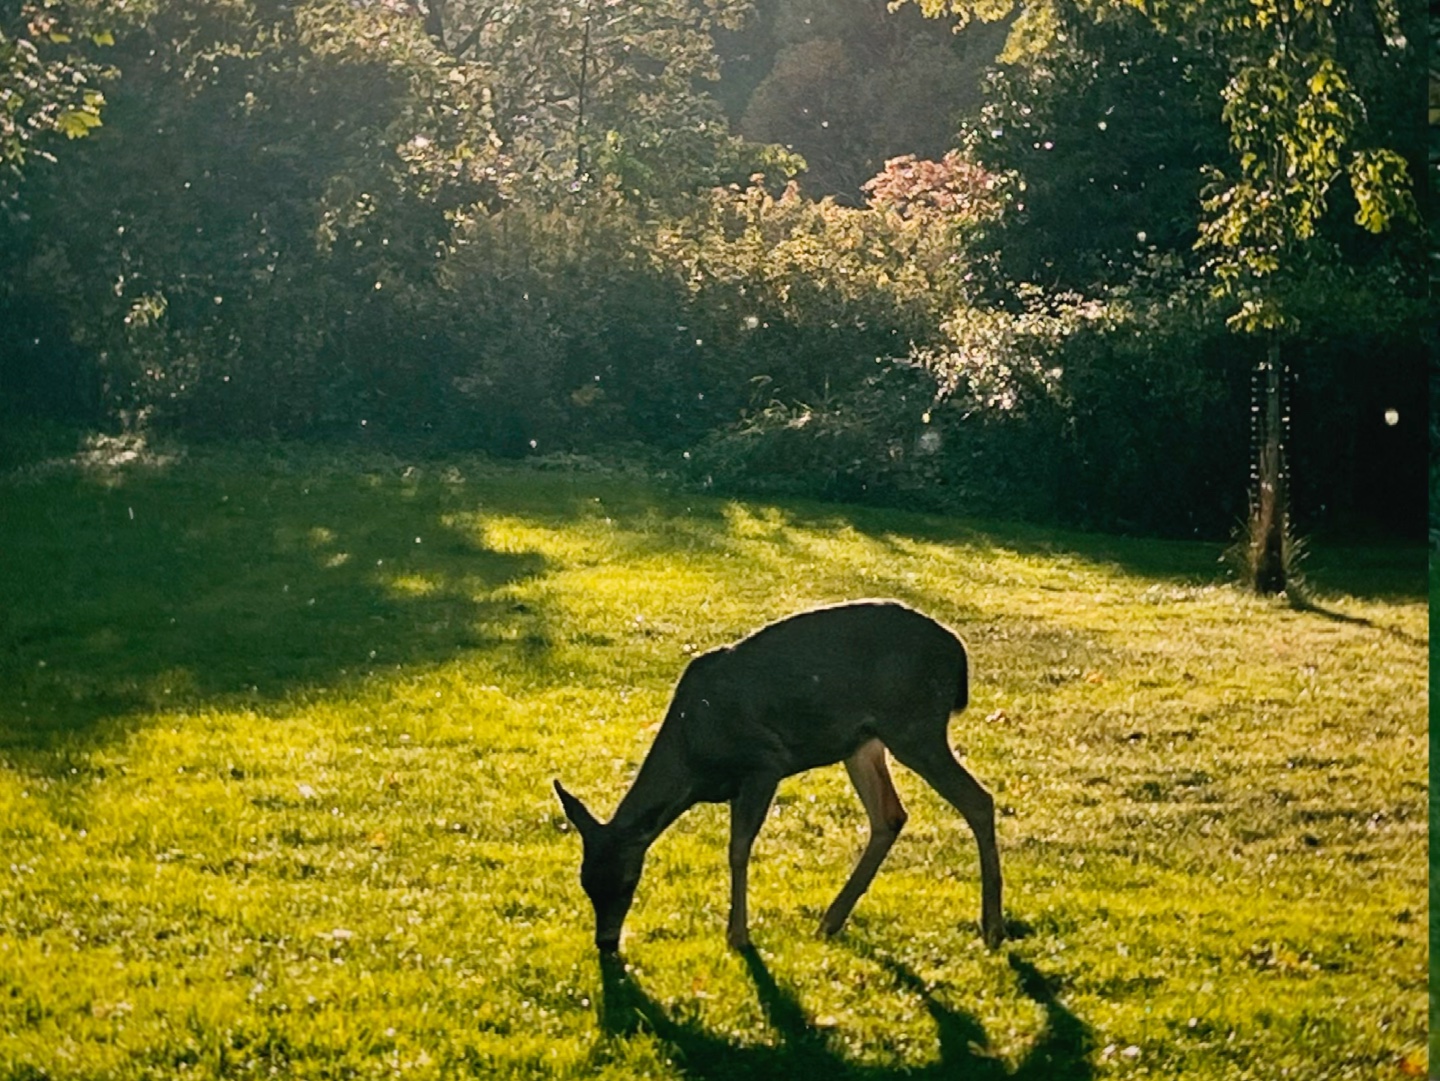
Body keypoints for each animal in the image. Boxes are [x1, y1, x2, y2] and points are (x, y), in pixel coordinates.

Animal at [555, 601, 1008, 955]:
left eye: (627, 879)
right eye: (585, 882)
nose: (606, 942)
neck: (693, 755)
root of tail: (958, 654)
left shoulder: (764, 762)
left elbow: (738, 849)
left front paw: (737, 935)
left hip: (914, 726)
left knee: (977, 800)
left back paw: (993, 928)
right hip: (863, 743)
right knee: (890, 816)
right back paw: (830, 921)